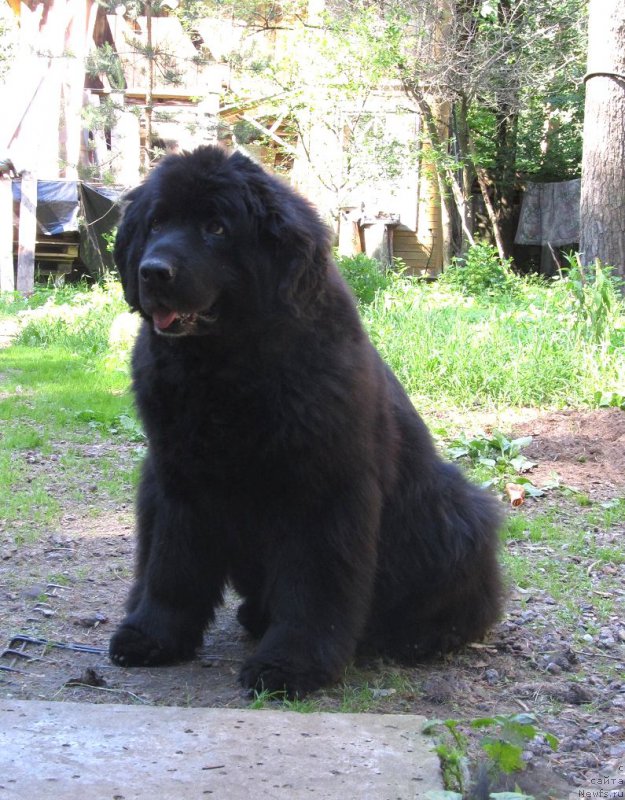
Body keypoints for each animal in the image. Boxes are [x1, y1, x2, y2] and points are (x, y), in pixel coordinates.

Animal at [111, 147, 502, 696]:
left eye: (216, 227)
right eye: (156, 224)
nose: (153, 272)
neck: (223, 370)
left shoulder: (322, 489)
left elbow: (315, 585)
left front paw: (290, 664)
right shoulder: (175, 478)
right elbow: (171, 567)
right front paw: (153, 635)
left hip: (456, 510)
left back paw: (422, 636)